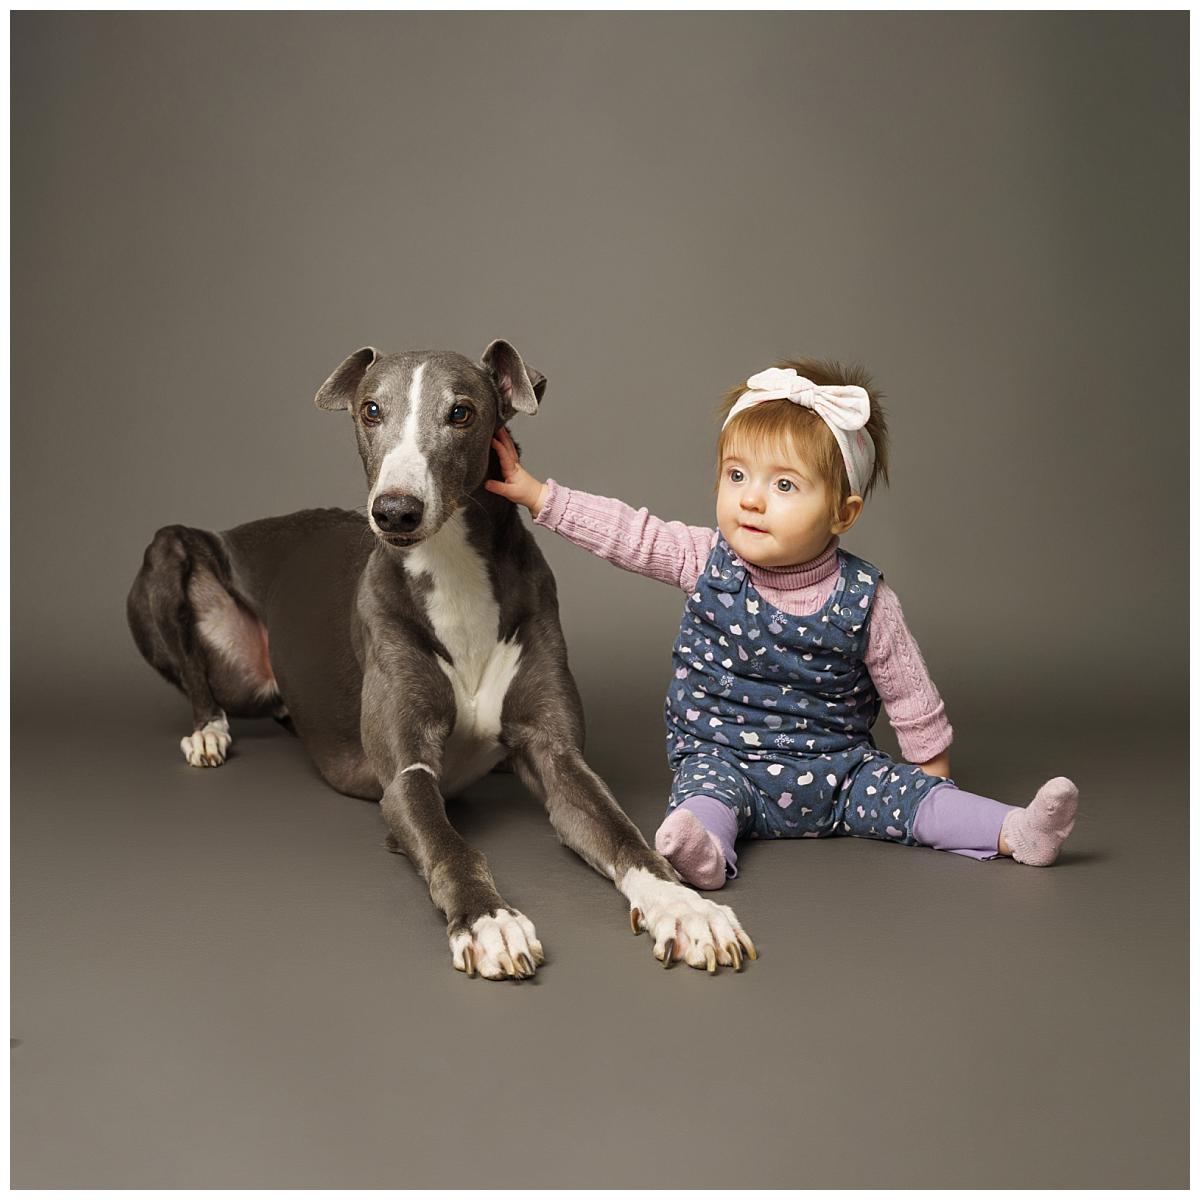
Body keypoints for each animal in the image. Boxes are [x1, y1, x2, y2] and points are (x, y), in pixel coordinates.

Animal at [129, 343, 748, 979]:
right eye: (371, 409)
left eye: (461, 412)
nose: (395, 511)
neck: (451, 569)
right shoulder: (406, 775)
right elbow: (451, 847)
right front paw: (489, 920)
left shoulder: (556, 752)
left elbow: (622, 833)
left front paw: (686, 908)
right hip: (170, 553)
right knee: (197, 671)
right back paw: (208, 731)